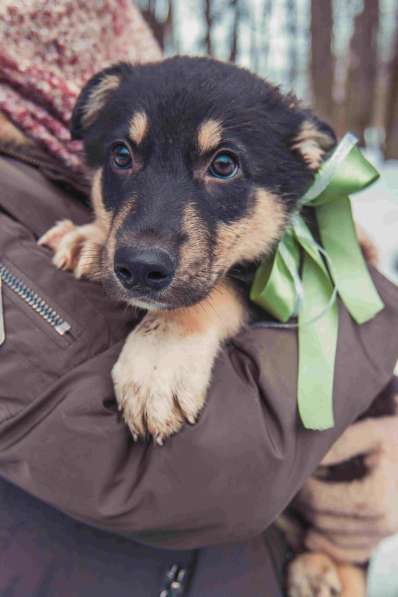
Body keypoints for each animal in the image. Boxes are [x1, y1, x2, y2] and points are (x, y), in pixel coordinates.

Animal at [39, 57, 336, 442]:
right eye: (121, 154)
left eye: (224, 165)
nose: (140, 268)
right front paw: (88, 238)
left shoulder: (281, 290)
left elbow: (205, 297)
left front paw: (156, 364)